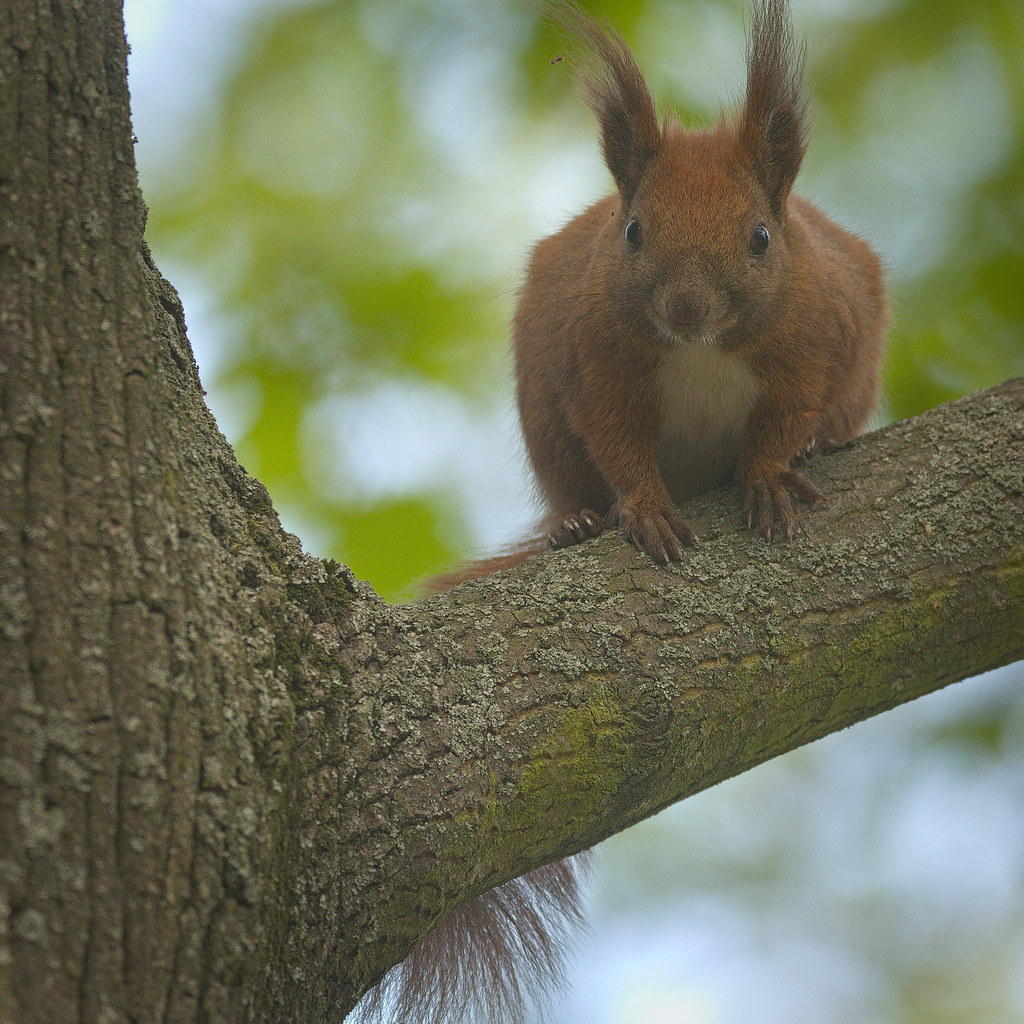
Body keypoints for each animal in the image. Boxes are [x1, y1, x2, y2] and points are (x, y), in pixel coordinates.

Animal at [361, 0, 888, 1020]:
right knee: (574, 482)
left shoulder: (816, 338)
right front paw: (642, 512)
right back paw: (578, 526)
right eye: (635, 231)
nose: (685, 309)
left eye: (761, 238)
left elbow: (786, 415)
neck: (701, 350)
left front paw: (774, 471)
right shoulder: (595, 360)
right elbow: (615, 442)